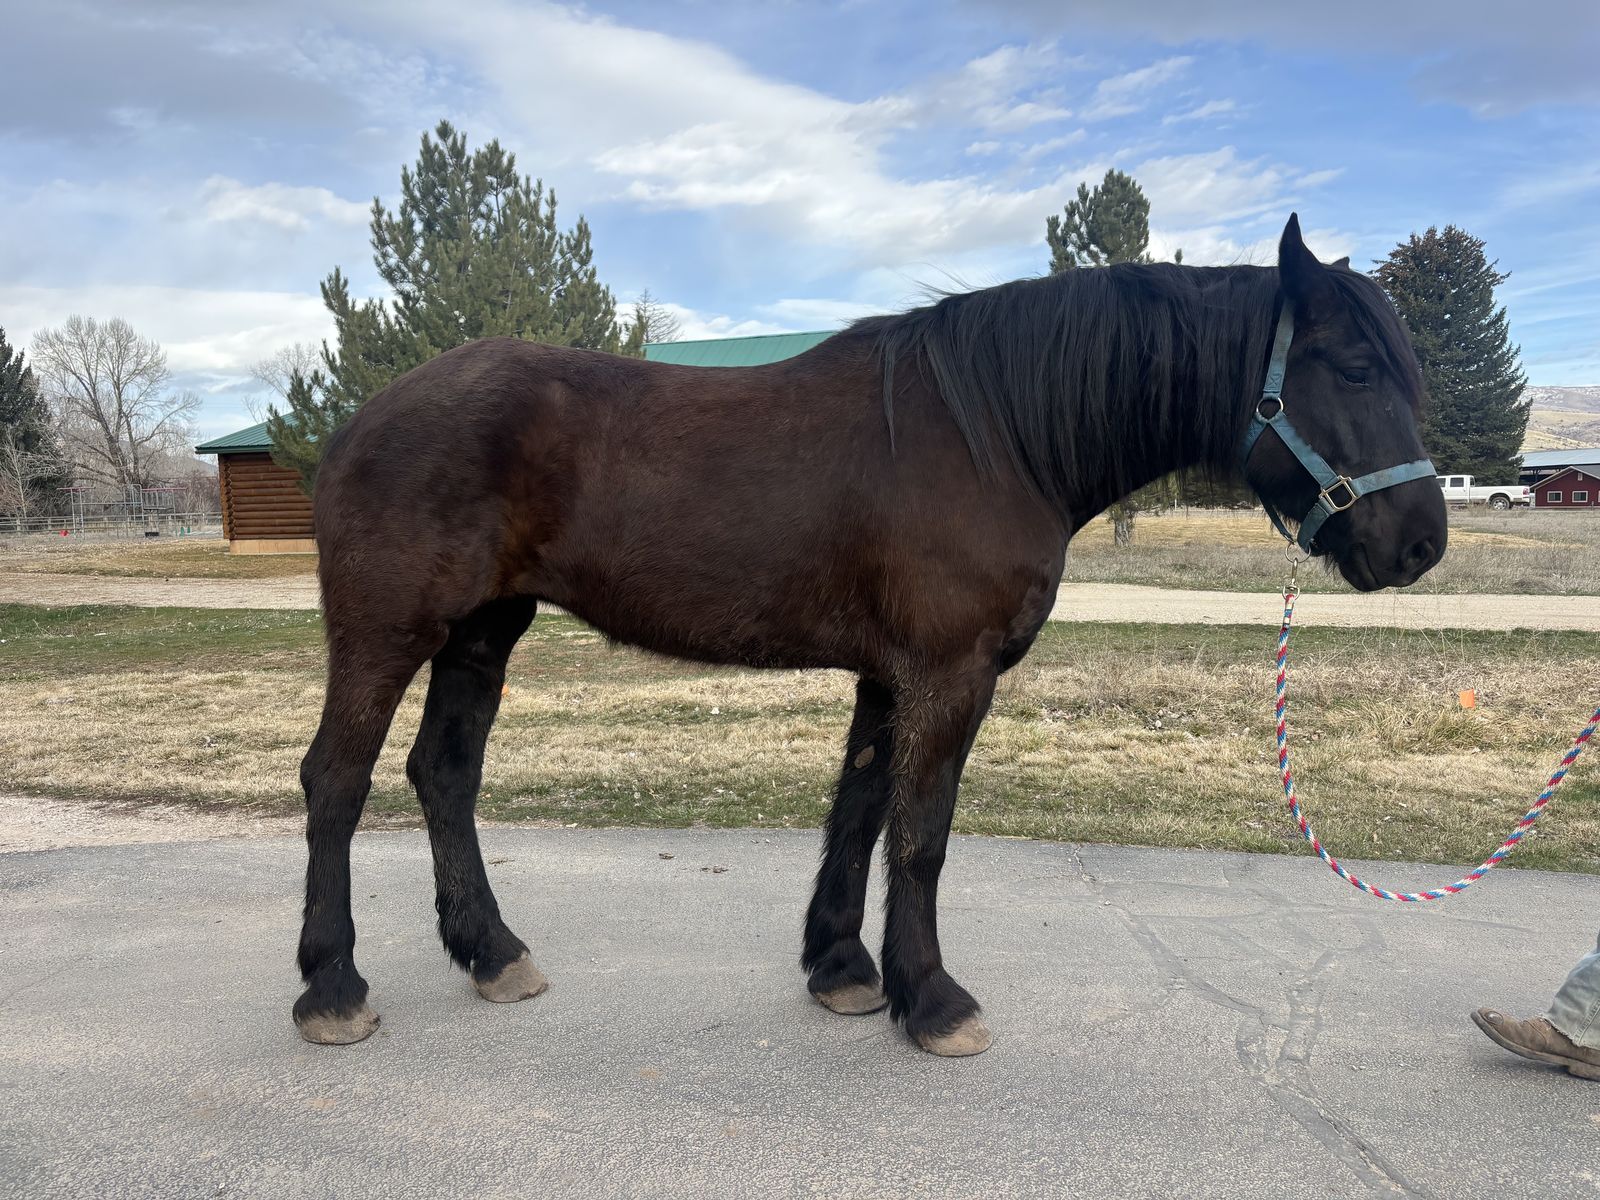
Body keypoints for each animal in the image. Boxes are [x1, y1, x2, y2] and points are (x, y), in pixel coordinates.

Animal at [291, 214, 1447, 1056]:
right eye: (1352, 368)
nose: (1420, 541)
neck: (993, 436)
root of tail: (359, 420)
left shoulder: (889, 677)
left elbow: (858, 812)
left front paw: (844, 970)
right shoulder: (949, 674)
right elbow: (921, 835)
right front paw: (931, 999)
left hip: (483, 630)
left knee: (443, 774)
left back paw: (491, 954)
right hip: (389, 630)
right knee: (336, 780)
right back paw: (332, 987)